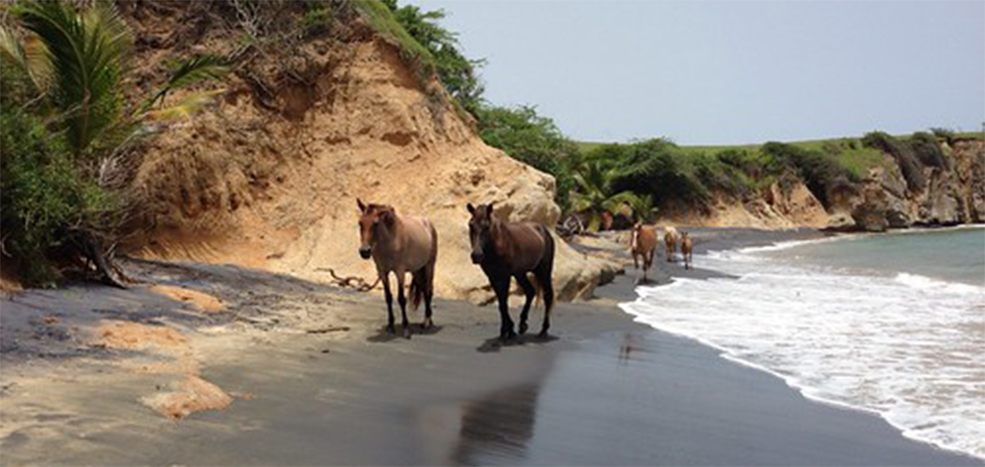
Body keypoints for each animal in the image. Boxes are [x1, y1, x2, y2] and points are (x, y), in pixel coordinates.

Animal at [356, 199, 436, 338]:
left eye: (376, 224)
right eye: (360, 223)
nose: (364, 251)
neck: (389, 241)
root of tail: (428, 223)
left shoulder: (400, 272)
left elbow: (401, 299)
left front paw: (405, 328)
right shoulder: (382, 272)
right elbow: (388, 297)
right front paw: (390, 325)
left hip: (429, 266)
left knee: (428, 291)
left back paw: (426, 322)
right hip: (417, 270)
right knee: (424, 290)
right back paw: (429, 320)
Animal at [464, 203, 548, 342]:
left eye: (486, 226)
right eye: (470, 225)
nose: (477, 255)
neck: (497, 246)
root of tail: (541, 229)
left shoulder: (505, 276)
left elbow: (504, 303)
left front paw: (508, 331)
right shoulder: (493, 277)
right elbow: (501, 304)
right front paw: (508, 330)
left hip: (544, 271)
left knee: (548, 296)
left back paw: (544, 330)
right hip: (520, 274)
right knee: (530, 291)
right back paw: (523, 324)